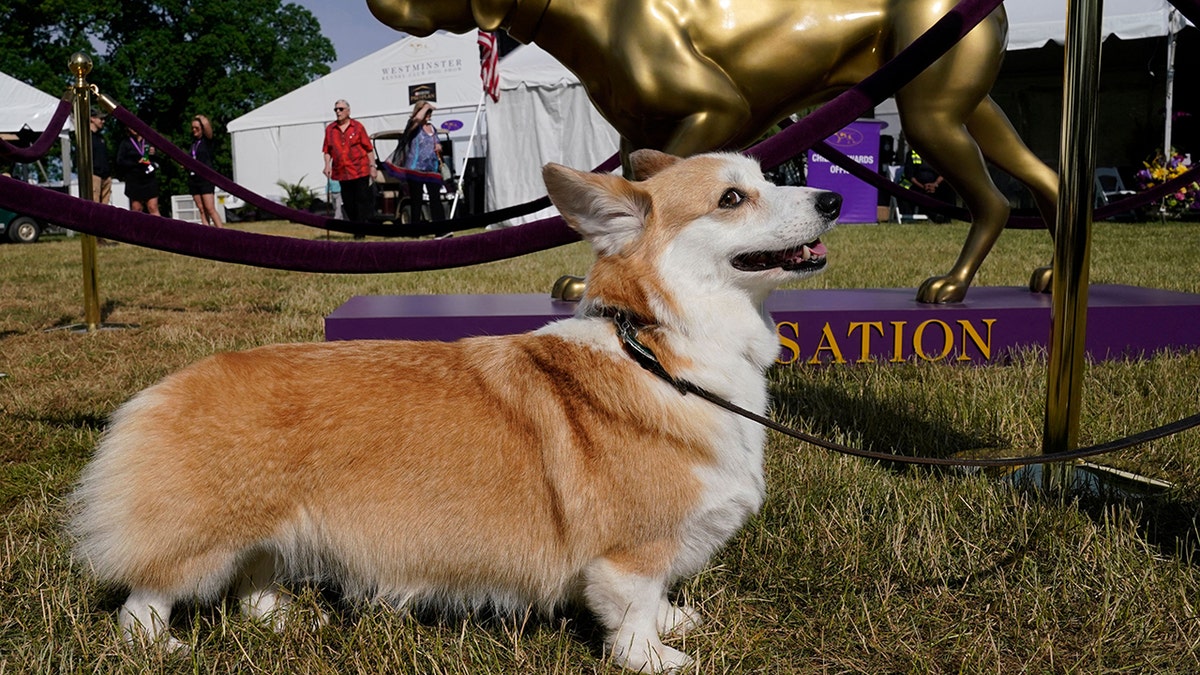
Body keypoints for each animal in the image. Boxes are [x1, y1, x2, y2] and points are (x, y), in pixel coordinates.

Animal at [70, 148, 840, 667]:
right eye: (733, 198)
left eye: (768, 178)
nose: (832, 202)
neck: (660, 345)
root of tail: (162, 388)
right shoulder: (632, 549)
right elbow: (632, 612)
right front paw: (657, 657)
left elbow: (656, 604)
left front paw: (676, 622)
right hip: (204, 533)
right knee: (146, 597)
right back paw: (162, 645)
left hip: (269, 523)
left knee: (254, 576)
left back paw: (281, 619)